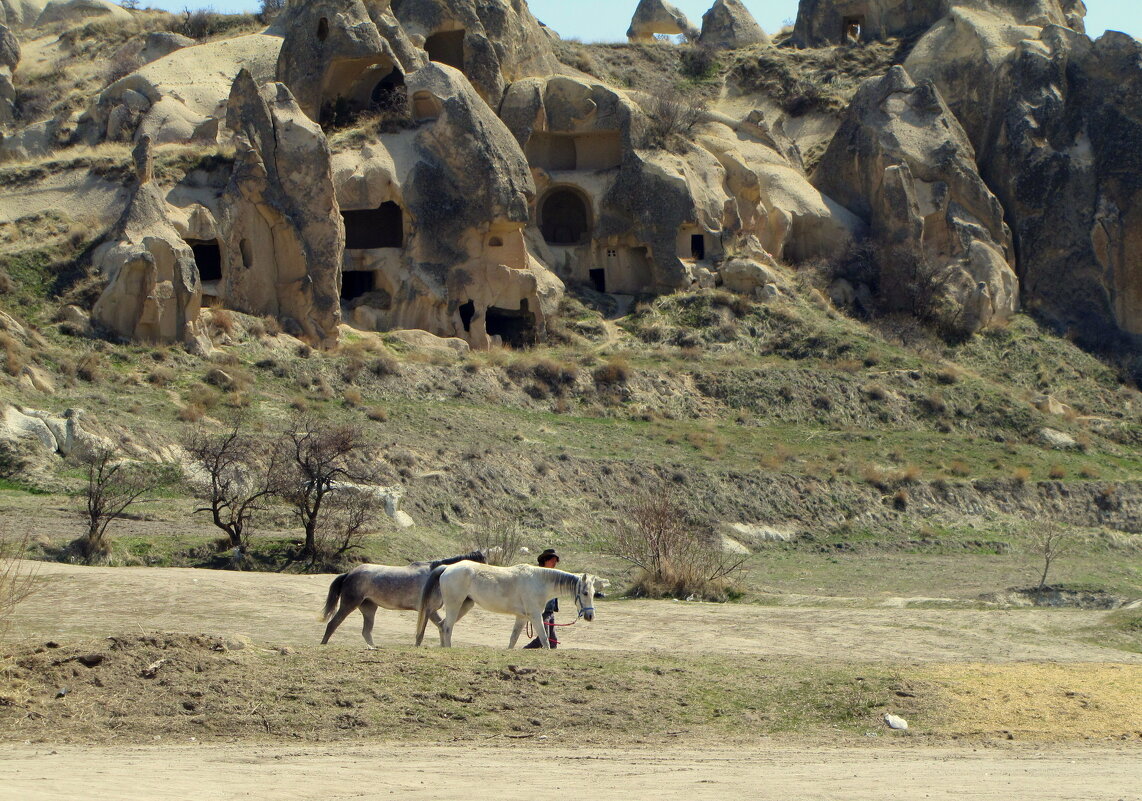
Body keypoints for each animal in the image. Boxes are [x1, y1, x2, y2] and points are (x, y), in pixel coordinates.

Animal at [322, 546, 486, 649]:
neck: (437, 575)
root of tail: (349, 573)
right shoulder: (428, 609)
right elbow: (426, 630)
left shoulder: (431, 610)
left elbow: (440, 625)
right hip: (349, 604)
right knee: (332, 624)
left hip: (369, 608)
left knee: (366, 632)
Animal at [415, 559, 602, 649]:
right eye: (585, 593)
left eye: (594, 593)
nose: (590, 616)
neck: (539, 581)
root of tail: (447, 568)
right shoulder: (535, 616)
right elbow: (544, 639)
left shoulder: (522, 617)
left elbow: (513, 639)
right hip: (455, 604)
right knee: (447, 627)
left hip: (465, 605)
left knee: (442, 625)